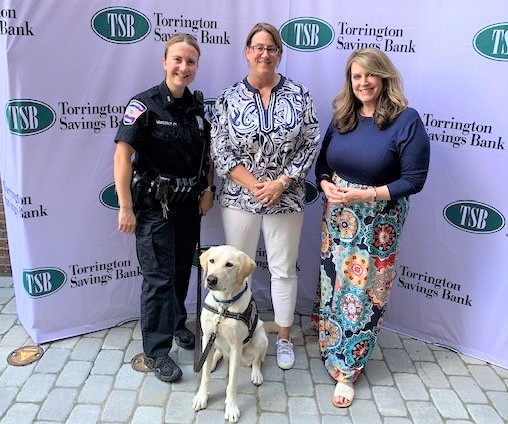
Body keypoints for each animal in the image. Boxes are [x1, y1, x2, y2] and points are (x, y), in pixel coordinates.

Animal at [191, 243, 270, 422]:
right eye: (211, 261)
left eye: (229, 265)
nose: (210, 279)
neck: (223, 305)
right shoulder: (207, 336)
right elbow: (205, 377)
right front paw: (201, 397)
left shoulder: (236, 347)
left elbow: (232, 384)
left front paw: (231, 408)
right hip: (213, 343)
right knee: (216, 354)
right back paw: (212, 363)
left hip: (261, 337)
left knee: (257, 359)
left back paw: (256, 374)